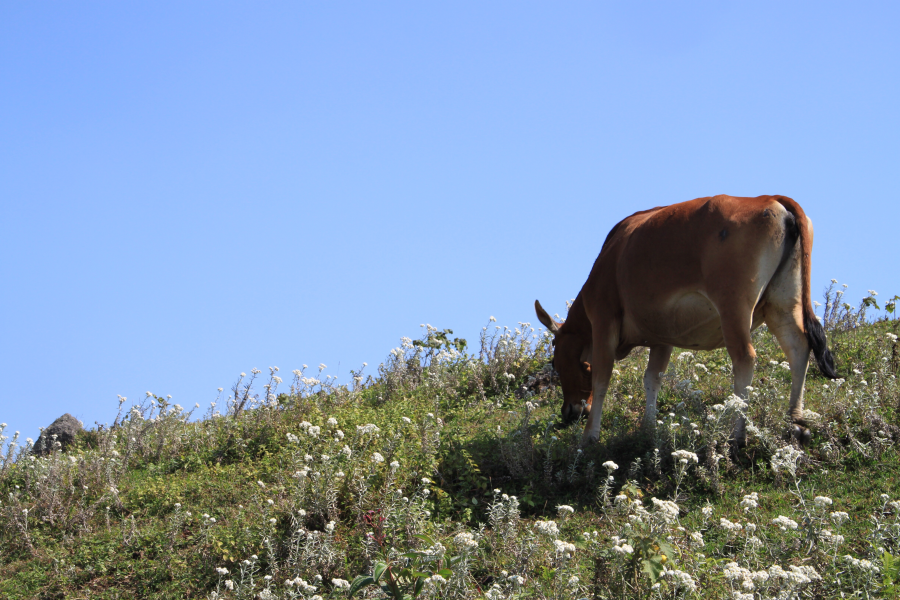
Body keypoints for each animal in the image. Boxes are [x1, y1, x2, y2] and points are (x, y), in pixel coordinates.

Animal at [536, 195, 836, 448]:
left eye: (555, 363)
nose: (569, 412)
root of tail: (769, 198)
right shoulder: (662, 336)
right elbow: (652, 379)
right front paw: (648, 429)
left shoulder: (603, 316)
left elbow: (601, 378)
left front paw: (589, 437)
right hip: (782, 302)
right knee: (798, 347)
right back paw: (795, 422)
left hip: (734, 306)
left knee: (745, 358)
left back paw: (737, 435)